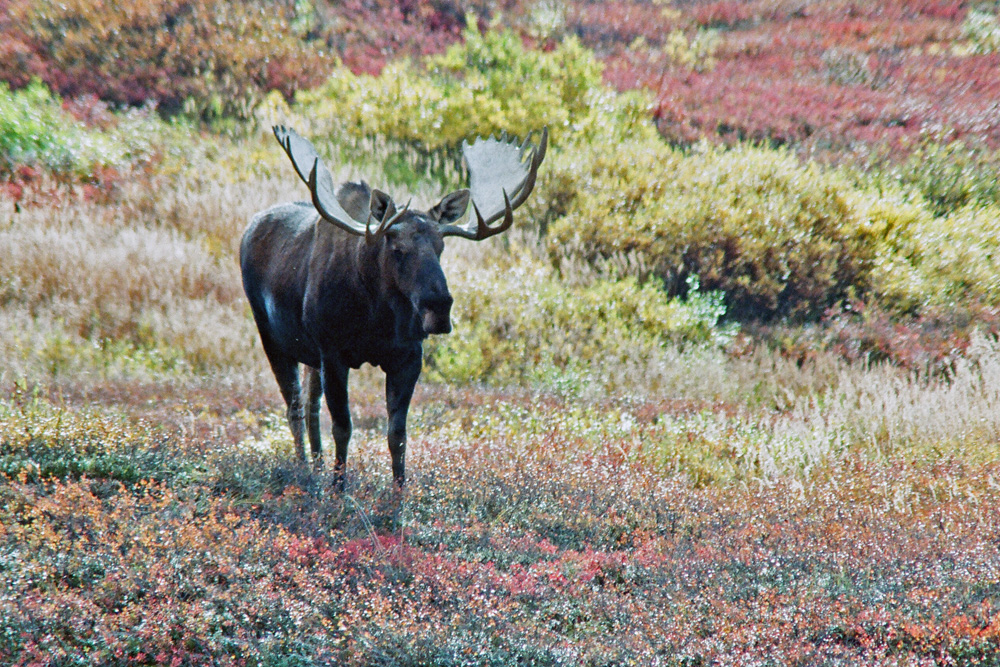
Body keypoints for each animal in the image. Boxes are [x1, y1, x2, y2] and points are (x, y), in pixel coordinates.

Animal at [240, 125, 547, 488]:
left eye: (441, 247)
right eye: (397, 249)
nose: (438, 308)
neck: (378, 318)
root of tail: (250, 227)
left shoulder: (408, 356)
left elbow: (397, 434)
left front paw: (399, 492)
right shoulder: (334, 353)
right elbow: (343, 427)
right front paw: (338, 488)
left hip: (310, 352)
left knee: (311, 404)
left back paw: (316, 466)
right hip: (271, 336)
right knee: (295, 407)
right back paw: (303, 470)